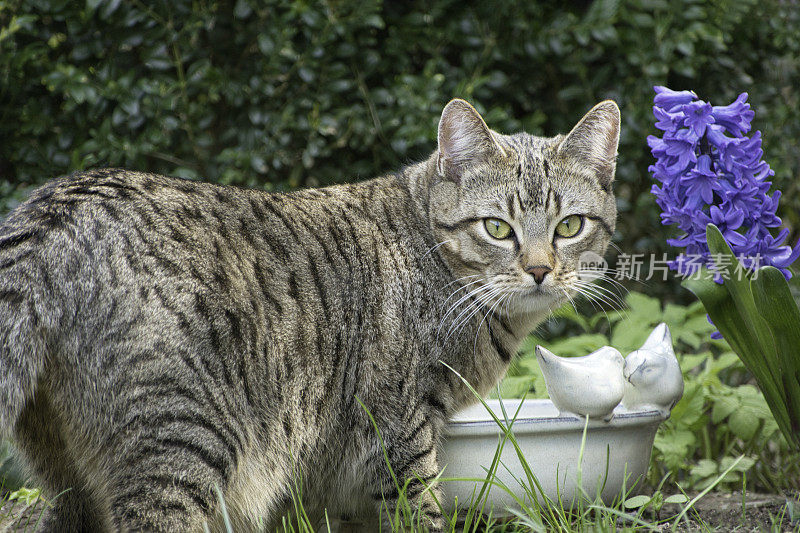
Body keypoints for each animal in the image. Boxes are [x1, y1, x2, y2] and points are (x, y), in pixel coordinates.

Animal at [0, 97, 620, 528]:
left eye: (570, 226)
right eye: (497, 227)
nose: (539, 270)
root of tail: (55, 210)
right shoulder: (399, 429)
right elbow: (419, 510)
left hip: (66, 473)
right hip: (178, 445)